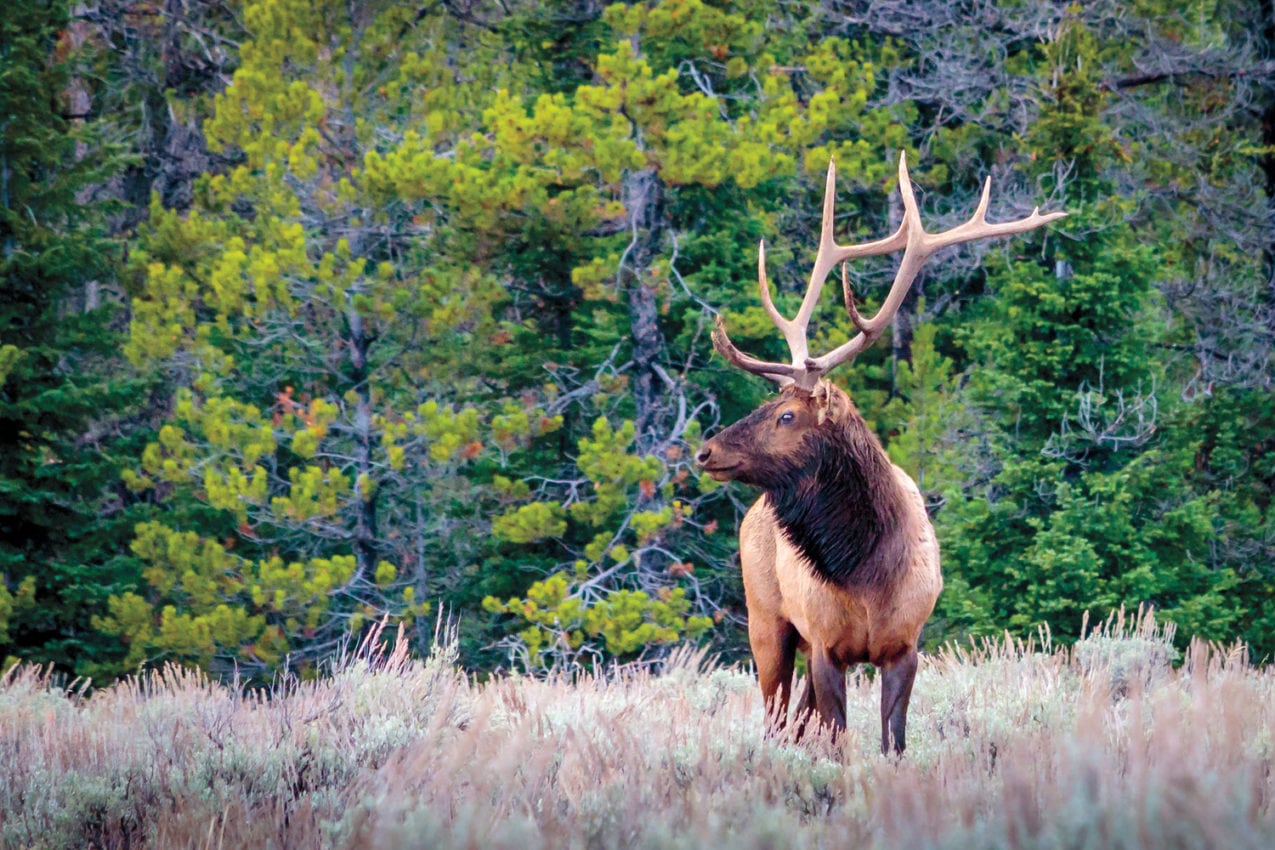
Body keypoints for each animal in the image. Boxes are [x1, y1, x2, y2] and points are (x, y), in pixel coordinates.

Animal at [693, 152, 1060, 749]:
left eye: (787, 415)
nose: (705, 451)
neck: (866, 573)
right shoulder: (825, 646)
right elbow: (839, 742)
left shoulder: (905, 647)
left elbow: (893, 743)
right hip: (765, 620)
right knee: (775, 719)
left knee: (794, 720)